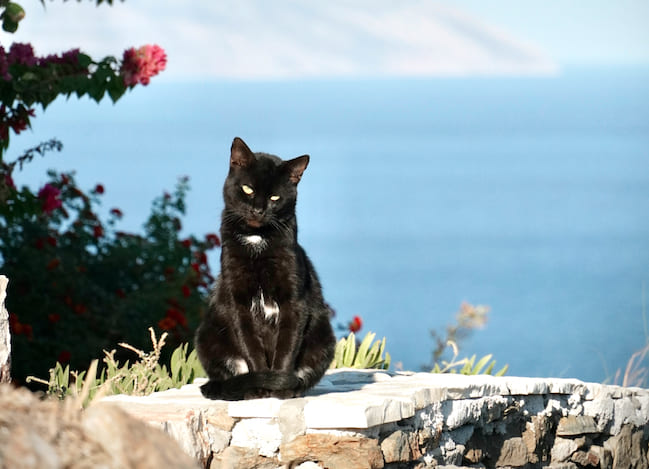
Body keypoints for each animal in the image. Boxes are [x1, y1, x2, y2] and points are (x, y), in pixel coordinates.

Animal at [192, 135, 334, 398]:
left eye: (274, 198)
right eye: (248, 189)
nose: (258, 210)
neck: (257, 241)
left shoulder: (294, 301)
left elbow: (287, 347)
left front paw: (281, 387)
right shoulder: (238, 301)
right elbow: (251, 348)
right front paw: (262, 386)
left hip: (324, 339)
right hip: (206, 334)